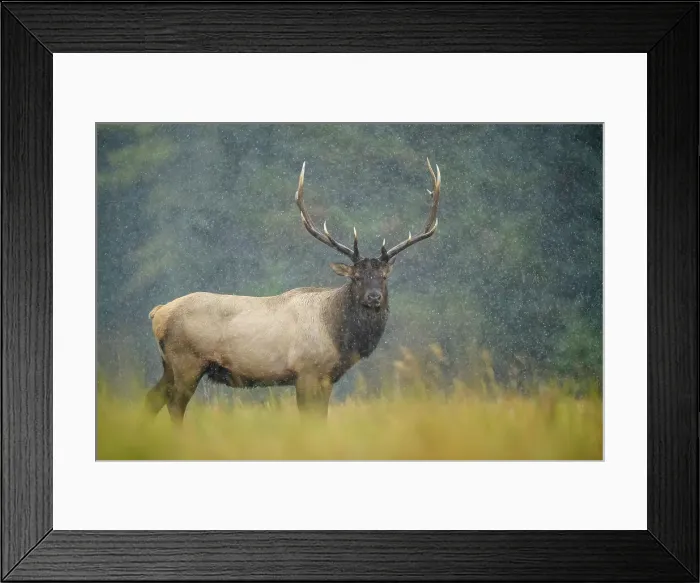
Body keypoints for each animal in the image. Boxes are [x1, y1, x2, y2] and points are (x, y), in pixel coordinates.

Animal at [145, 158, 441, 422]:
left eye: (383, 277)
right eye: (356, 277)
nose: (374, 297)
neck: (339, 337)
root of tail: (158, 313)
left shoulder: (326, 377)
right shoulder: (308, 371)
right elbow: (310, 420)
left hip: (169, 364)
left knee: (152, 398)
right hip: (186, 360)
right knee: (174, 404)